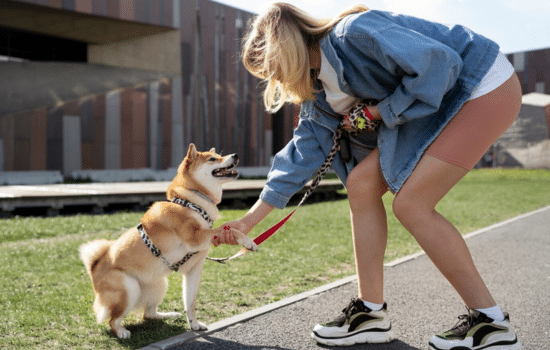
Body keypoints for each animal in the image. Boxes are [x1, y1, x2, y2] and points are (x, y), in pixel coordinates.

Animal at [79, 144, 258, 338]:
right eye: (212, 159)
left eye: (219, 155)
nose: (235, 155)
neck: (191, 202)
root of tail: (94, 268)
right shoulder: (194, 238)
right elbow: (227, 229)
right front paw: (248, 241)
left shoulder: (194, 270)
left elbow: (190, 303)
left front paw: (194, 325)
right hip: (130, 288)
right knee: (113, 320)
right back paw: (122, 332)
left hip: (160, 285)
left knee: (148, 314)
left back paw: (169, 315)